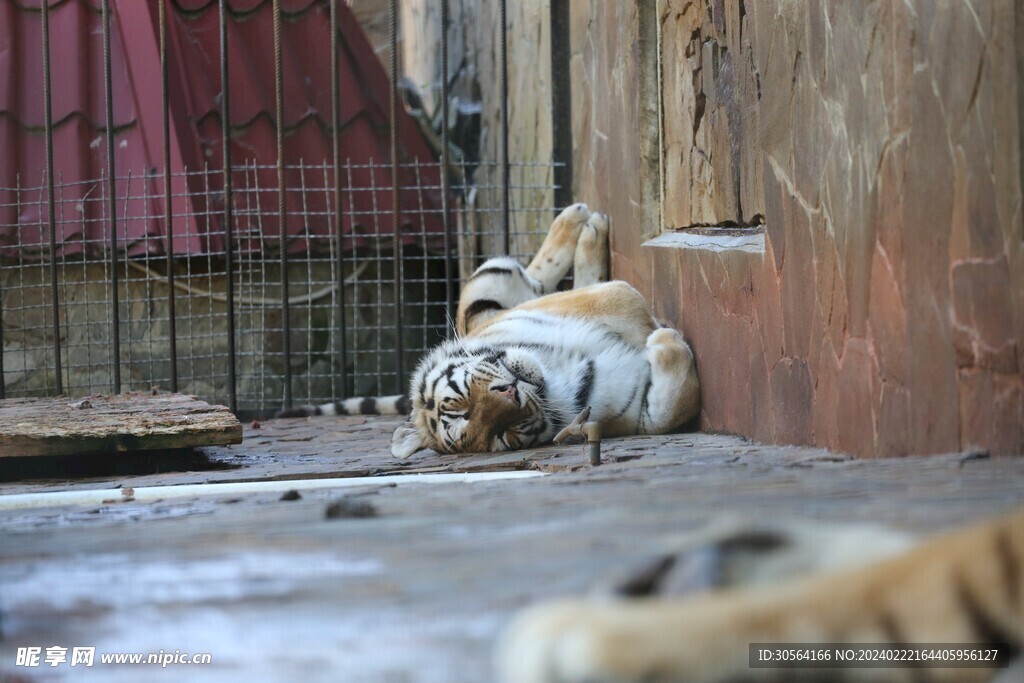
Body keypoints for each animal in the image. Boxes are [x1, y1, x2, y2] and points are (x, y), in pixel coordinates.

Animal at [281, 202, 700, 459]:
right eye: (504, 435)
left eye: (456, 404)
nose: (511, 392)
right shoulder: (632, 415)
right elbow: (672, 408)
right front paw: (664, 339)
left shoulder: (564, 307)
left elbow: (621, 297)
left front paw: (653, 329)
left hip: (490, 275)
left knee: (535, 275)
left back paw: (582, 222)